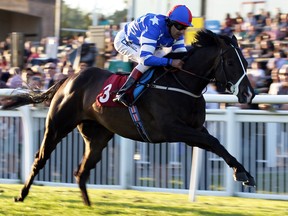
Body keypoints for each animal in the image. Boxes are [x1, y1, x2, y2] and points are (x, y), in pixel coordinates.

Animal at [2, 29, 254, 205]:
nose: (249, 94)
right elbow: (213, 141)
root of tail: (68, 78)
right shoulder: (172, 129)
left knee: (81, 171)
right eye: (231, 62)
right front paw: (242, 173)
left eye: (246, 62)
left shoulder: (194, 130)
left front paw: (243, 173)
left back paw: (88, 205)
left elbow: (216, 144)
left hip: (98, 137)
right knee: (40, 158)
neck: (181, 83)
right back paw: (21, 195)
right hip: (57, 125)